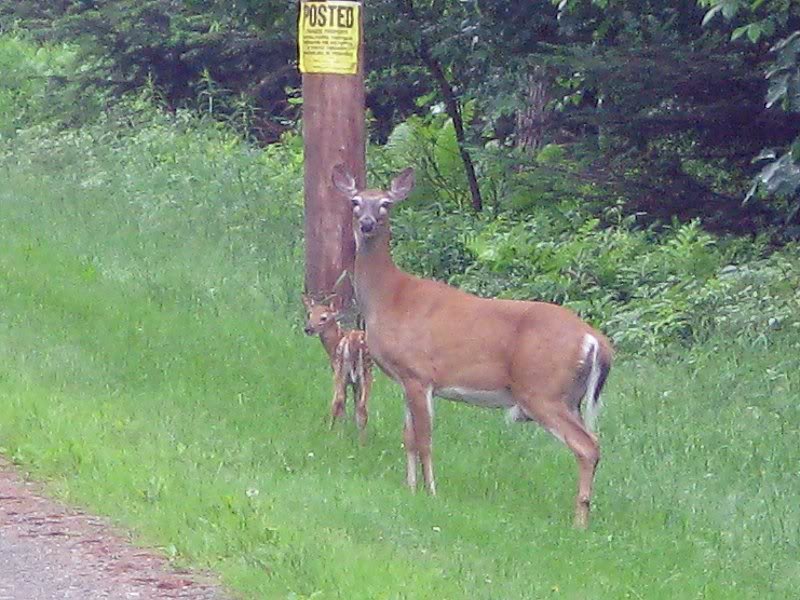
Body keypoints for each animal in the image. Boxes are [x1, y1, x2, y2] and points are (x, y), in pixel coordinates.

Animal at [302, 294, 373, 442]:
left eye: (324, 317)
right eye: (309, 314)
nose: (308, 329)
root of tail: (353, 343)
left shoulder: (336, 370)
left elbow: (340, 401)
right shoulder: (355, 382)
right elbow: (356, 403)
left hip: (340, 372)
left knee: (338, 400)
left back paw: (334, 432)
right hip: (367, 373)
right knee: (362, 405)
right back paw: (362, 441)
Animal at [331, 164, 614, 528]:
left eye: (385, 204)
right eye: (355, 201)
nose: (366, 223)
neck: (389, 298)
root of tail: (595, 340)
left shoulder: (419, 373)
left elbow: (425, 439)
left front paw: (431, 491)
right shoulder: (406, 378)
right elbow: (408, 437)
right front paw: (410, 488)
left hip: (542, 390)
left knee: (588, 446)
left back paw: (579, 521)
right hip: (569, 397)